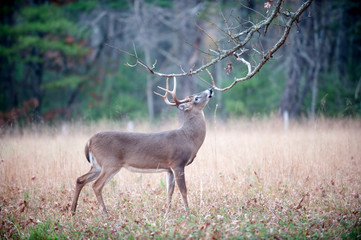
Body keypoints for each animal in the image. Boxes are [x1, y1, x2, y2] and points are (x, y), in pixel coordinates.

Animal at [70, 77, 212, 216]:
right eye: (196, 98)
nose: (210, 90)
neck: (188, 138)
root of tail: (89, 141)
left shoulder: (169, 169)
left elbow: (169, 191)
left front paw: (167, 214)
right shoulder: (178, 163)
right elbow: (183, 190)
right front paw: (188, 214)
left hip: (97, 165)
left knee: (80, 179)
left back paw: (73, 211)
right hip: (110, 163)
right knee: (96, 185)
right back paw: (105, 213)